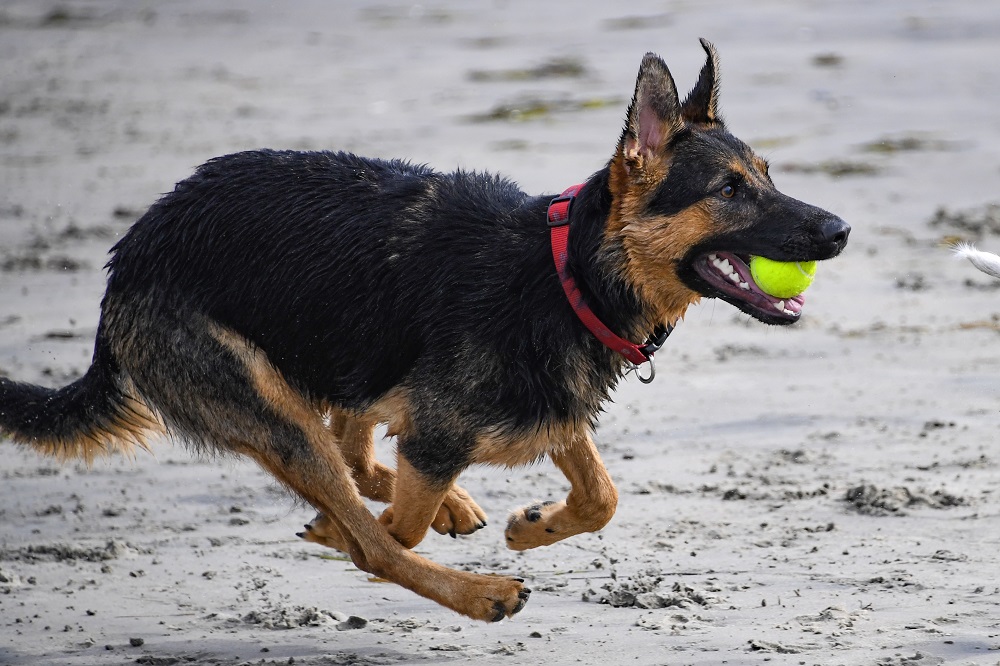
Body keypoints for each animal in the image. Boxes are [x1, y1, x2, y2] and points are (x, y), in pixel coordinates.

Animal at [0, 41, 848, 620]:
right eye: (730, 190)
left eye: (767, 175)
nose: (839, 230)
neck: (567, 276)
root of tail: (125, 259)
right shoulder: (447, 428)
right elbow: (392, 534)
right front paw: (372, 529)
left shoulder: (546, 408)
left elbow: (602, 496)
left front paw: (530, 524)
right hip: (267, 402)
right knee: (370, 528)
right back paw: (470, 589)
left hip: (344, 351)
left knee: (352, 446)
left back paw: (440, 508)